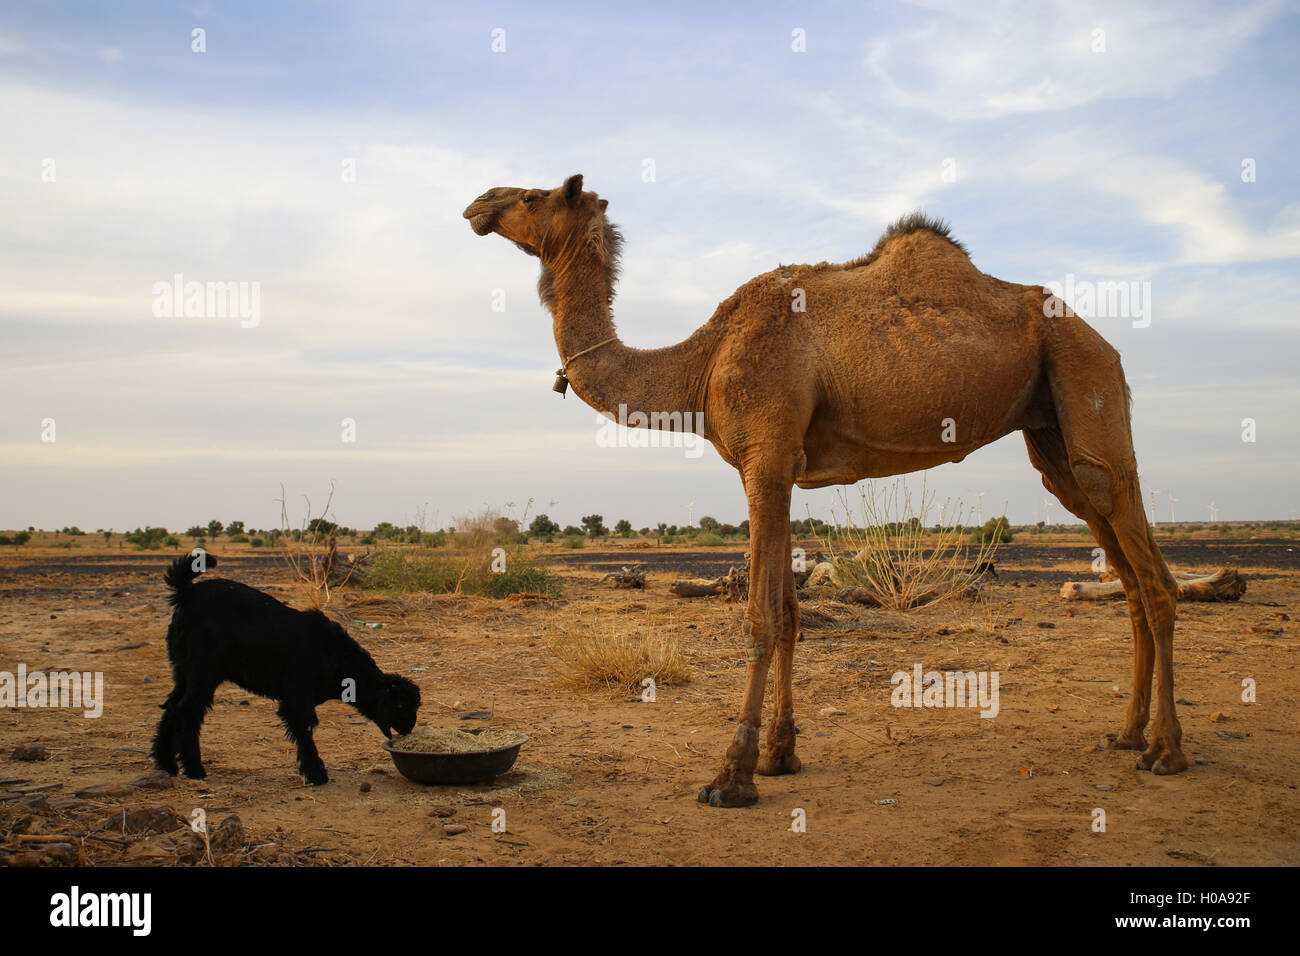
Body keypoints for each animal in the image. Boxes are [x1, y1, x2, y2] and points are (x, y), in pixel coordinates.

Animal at [152, 554, 418, 785]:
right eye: (400, 705)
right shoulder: (297, 696)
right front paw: (316, 774)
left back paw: (166, 764)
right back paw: (194, 769)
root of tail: (186, 593)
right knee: (186, 712)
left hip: (183, 671)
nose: (409, 728)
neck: (333, 655)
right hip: (203, 674)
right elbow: (304, 729)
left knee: (171, 706)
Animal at [467, 174, 1190, 806]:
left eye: (531, 195)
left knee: (1148, 566)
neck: (699, 362)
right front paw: (779, 756)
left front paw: (731, 777)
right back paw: (1126, 734)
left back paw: (1166, 750)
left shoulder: (765, 456)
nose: (479, 202)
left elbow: (761, 615)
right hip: (1051, 434)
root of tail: (1100, 339)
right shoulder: (777, 465)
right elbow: (789, 612)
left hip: (1086, 378)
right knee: (1117, 560)